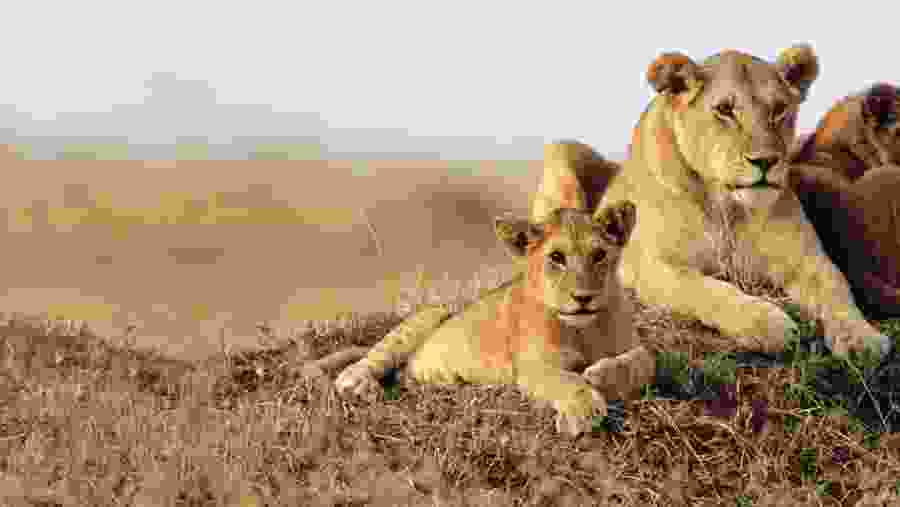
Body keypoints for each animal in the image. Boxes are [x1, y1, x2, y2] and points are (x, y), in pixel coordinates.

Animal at [333, 141, 656, 437]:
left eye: (599, 255)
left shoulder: (637, 349)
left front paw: (601, 376)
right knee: (363, 365)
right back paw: (362, 386)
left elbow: (644, 362)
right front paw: (582, 412)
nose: (583, 298)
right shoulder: (532, 367)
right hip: (430, 314)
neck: (584, 330)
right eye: (556, 258)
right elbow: (567, 380)